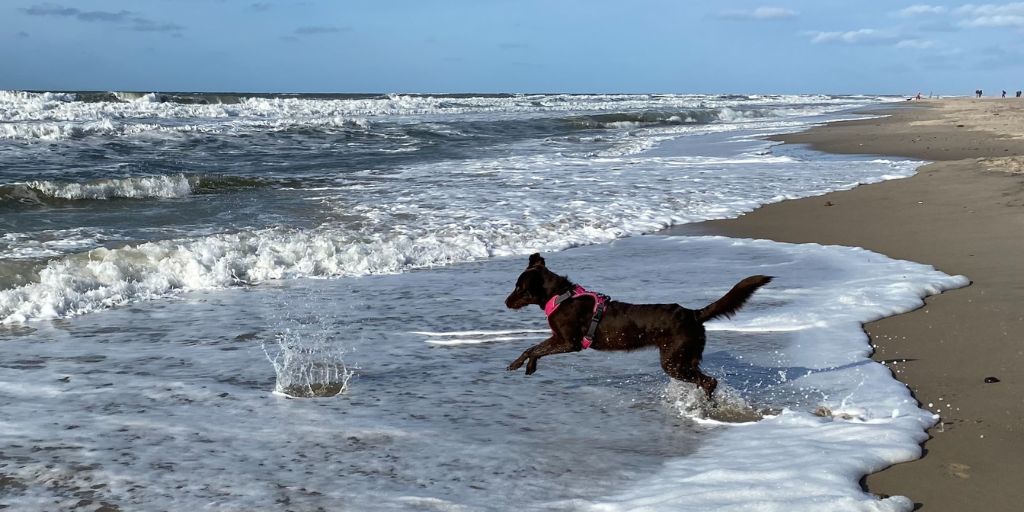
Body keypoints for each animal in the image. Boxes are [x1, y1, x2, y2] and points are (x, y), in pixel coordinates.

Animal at [499, 253, 770, 397]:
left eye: (519, 288)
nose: (505, 302)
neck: (561, 296)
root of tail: (693, 314)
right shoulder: (560, 339)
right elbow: (532, 348)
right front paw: (524, 365)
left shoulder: (568, 341)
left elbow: (535, 348)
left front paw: (521, 365)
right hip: (685, 358)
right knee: (705, 379)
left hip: (673, 361)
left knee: (709, 381)